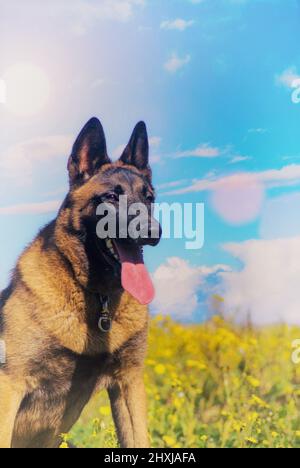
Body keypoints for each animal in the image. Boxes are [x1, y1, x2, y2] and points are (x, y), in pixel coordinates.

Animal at [0, 119, 162, 448]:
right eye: (110, 197)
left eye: (149, 198)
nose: (154, 232)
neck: (98, 297)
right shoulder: (10, 382)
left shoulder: (128, 381)